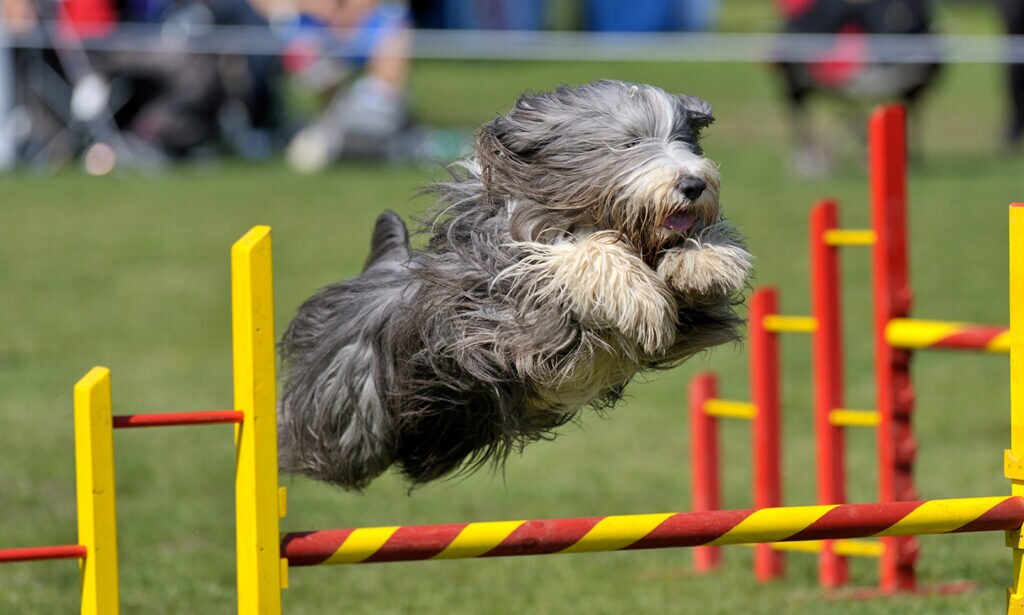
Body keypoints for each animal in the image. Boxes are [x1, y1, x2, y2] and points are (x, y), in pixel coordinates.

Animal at [278, 79, 753, 489]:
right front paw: (638, 294)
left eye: (685, 140)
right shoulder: (507, 317)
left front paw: (706, 261)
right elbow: (571, 257)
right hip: (350, 409)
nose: (693, 184)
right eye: (629, 143)